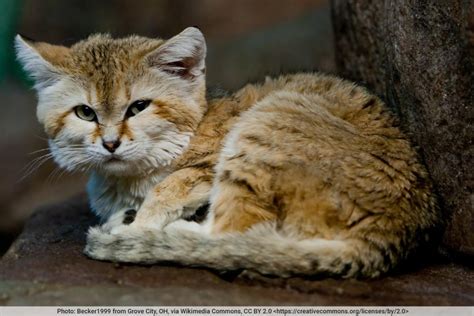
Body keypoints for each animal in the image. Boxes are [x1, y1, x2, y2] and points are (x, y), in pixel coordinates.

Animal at [15, 27, 444, 278]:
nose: (109, 143)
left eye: (138, 107)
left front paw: (138, 223)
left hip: (263, 128)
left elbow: (169, 187)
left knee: (230, 235)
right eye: (85, 113)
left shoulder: (206, 166)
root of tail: (398, 229)